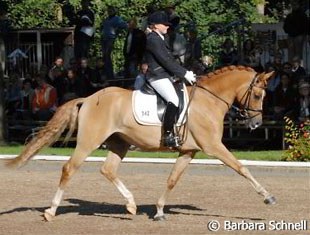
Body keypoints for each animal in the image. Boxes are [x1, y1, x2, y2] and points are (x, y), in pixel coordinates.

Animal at [6, 65, 276, 220]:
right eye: (257, 95)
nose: (255, 125)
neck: (208, 100)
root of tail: (89, 98)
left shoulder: (188, 151)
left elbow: (172, 179)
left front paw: (159, 211)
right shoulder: (213, 147)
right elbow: (241, 168)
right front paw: (267, 197)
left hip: (119, 143)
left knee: (108, 169)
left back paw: (131, 205)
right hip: (89, 142)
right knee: (69, 169)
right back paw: (51, 211)